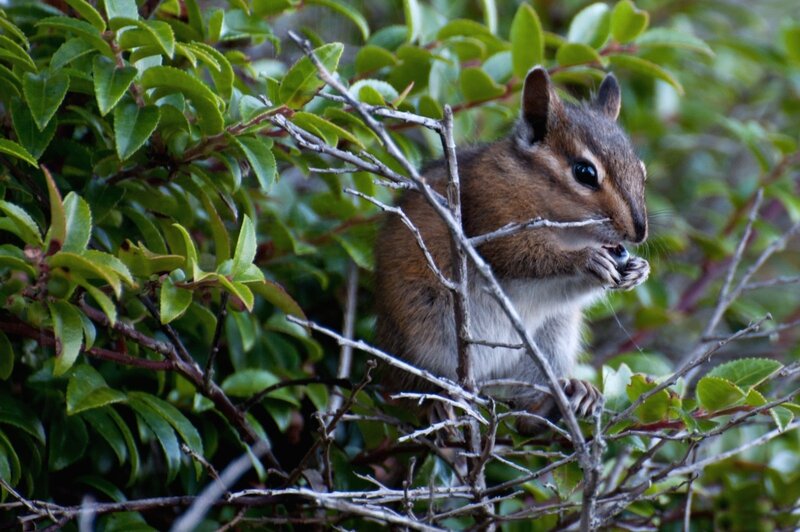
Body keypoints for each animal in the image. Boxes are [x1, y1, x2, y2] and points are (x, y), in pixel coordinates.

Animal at [374, 67, 650, 426]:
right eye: (585, 172)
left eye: (641, 171)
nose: (639, 233)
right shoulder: (489, 211)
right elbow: (519, 255)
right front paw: (586, 260)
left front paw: (638, 270)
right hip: (422, 336)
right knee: (407, 389)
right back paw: (437, 403)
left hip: (549, 344)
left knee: (524, 413)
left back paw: (563, 399)